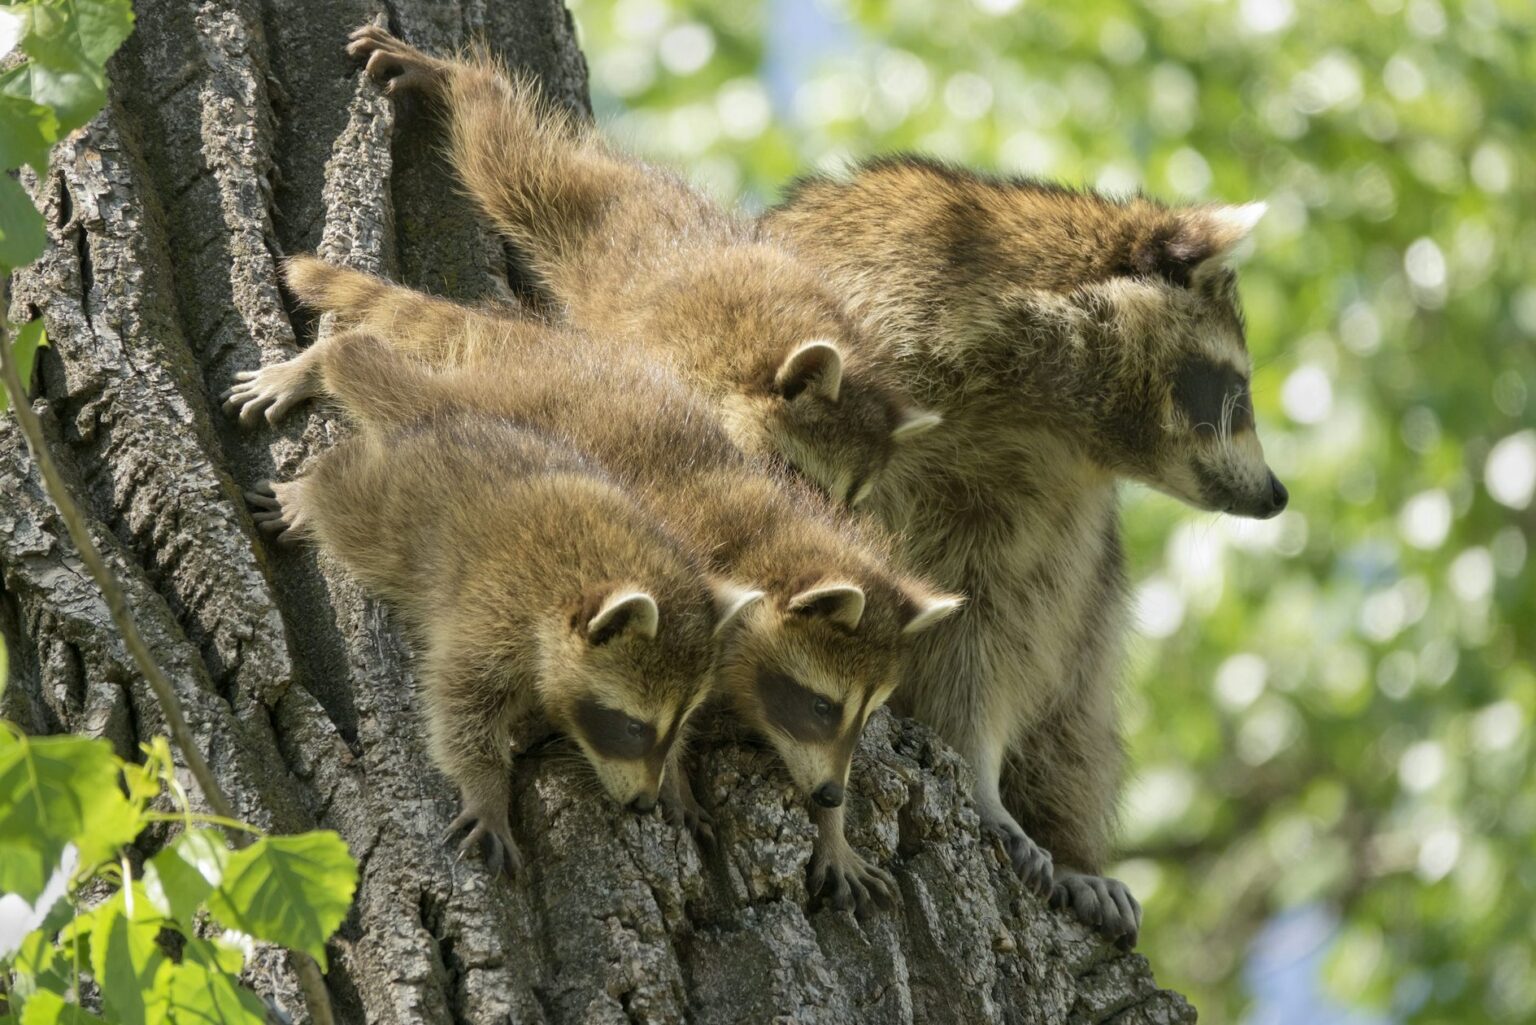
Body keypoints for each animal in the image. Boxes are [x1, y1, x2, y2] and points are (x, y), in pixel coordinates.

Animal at [228, 269, 964, 913]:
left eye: (864, 714)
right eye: (821, 706)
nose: (836, 796)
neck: (770, 545)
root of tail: (530, 344)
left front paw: (831, 826)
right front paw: (685, 779)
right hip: (484, 404)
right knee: (379, 369)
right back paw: (323, 364)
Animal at [343, 24, 943, 509]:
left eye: (852, 499)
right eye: (793, 471)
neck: (764, 357)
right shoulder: (680, 359)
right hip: (588, 223)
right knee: (508, 158)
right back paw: (464, 84)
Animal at [764, 156, 1287, 946]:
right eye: (1231, 386)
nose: (1278, 494)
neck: (1041, 409)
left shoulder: (1048, 513)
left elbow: (987, 640)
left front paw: (983, 779)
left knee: (1076, 721)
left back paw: (1074, 851)